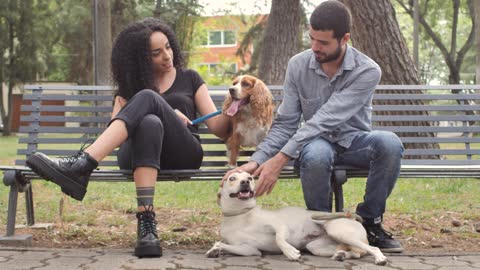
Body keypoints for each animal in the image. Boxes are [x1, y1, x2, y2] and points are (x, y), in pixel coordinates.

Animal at [207, 172, 390, 264]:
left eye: (250, 177)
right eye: (232, 178)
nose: (245, 181)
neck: (241, 214)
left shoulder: (279, 225)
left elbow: (280, 239)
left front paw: (290, 252)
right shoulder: (249, 249)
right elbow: (221, 244)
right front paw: (215, 250)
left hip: (337, 230)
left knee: (372, 249)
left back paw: (380, 258)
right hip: (316, 247)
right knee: (354, 253)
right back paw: (341, 256)